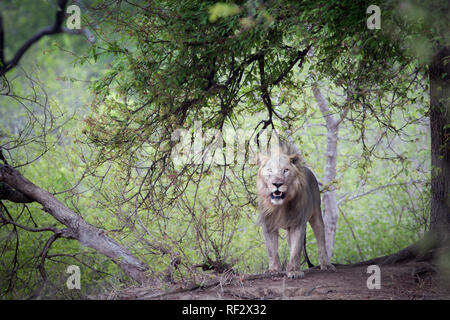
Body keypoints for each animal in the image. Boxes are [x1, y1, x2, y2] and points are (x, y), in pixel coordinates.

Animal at [256, 140, 334, 278]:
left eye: (285, 170)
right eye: (270, 170)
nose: (277, 184)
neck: (280, 206)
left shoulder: (298, 224)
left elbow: (296, 249)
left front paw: (293, 271)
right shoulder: (268, 224)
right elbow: (271, 250)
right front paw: (274, 270)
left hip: (316, 214)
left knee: (321, 240)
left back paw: (326, 264)